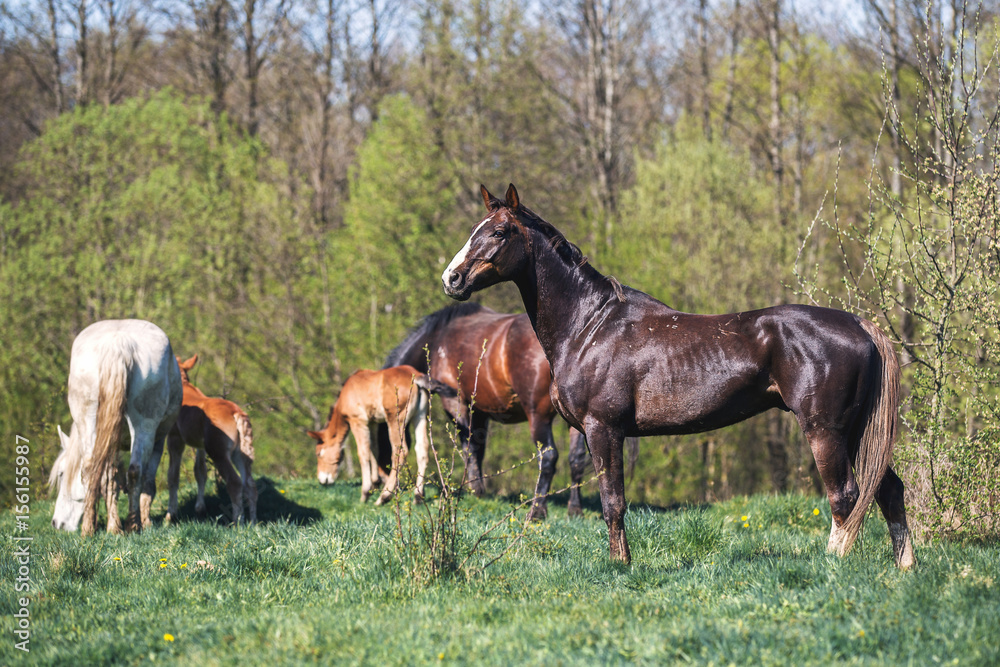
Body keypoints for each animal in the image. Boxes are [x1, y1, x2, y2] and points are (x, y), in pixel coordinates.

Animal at [50, 319, 182, 536]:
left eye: (62, 474)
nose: (56, 523)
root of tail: (118, 342)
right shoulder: (157, 442)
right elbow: (145, 482)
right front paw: (144, 522)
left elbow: (109, 479)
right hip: (144, 428)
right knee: (135, 470)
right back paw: (132, 525)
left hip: (88, 422)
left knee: (90, 469)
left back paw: (94, 528)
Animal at [165, 355, 257, 525]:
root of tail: (236, 412)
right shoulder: (200, 445)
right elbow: (200, 472)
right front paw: (200, 510)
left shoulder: (175, 439)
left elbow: (173, 475)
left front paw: (170, 516)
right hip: (241, 454)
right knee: (250, 484)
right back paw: (253, 523)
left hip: (218, 453)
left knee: (235, 482)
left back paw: (237, 523)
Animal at [307, 365, 458, 504]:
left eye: (318, 453)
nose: (322, 480)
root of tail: (415, 376)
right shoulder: (373, 422)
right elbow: (374, 449)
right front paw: (375, 482)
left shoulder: (358, 421)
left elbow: (363, 453)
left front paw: (365, 492)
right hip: (420, 416)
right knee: (422, 449)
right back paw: (418, 496)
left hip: (395, 419)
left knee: (400, 451)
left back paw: (384, 496)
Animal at [383, 303, 631, 520]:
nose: (381, 482)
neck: (437, 340)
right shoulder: (480, 410)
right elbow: (478, 448)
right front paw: (478, 487)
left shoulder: (456, 402)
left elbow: (468, 446)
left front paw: (474, 489)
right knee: (576, 459)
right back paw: (574, 509)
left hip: (538, 417)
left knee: (548, 457)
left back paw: (538, 510)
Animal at [442, 183, 914, 569]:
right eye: (475, 228)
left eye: (500, 232)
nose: (452, 278)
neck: (590, 325)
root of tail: (860, 325)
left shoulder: (603, 428)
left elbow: (613, 503)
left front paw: (620, 565)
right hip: (856, 431)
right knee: (889, 490)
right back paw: (903, 568)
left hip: (825, 431)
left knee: (846, 496)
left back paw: (835, 562)